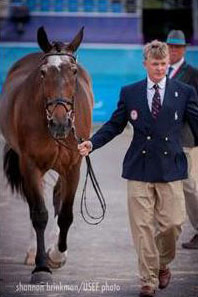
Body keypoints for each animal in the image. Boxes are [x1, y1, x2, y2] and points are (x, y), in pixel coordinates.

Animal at [0, 26, 93, 280]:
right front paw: (41, 266)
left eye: (73, 71)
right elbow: (39, 214)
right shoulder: (30, 166)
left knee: (57, 198)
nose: (60, 123)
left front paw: (57, 255)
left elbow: (66, 213)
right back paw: (34, 251)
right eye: (43, 73)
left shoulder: (73, 166)